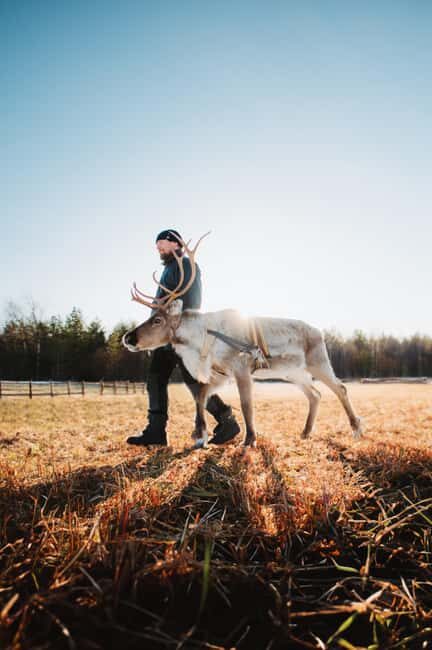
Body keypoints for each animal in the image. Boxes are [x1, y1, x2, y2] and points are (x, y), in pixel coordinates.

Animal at [123, 235, 362, 449]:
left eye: (157, 320)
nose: (127, 337)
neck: (202, 340)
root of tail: (320, 332)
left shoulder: (241, 369)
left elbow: (246, 405)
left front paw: (249, 440)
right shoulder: (221, 374)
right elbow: (201, 395)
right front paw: (200, 436)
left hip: (318, 362)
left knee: (340, 388)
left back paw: (356, 429)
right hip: (293, 373)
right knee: (315, 394)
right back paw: (305, 432)